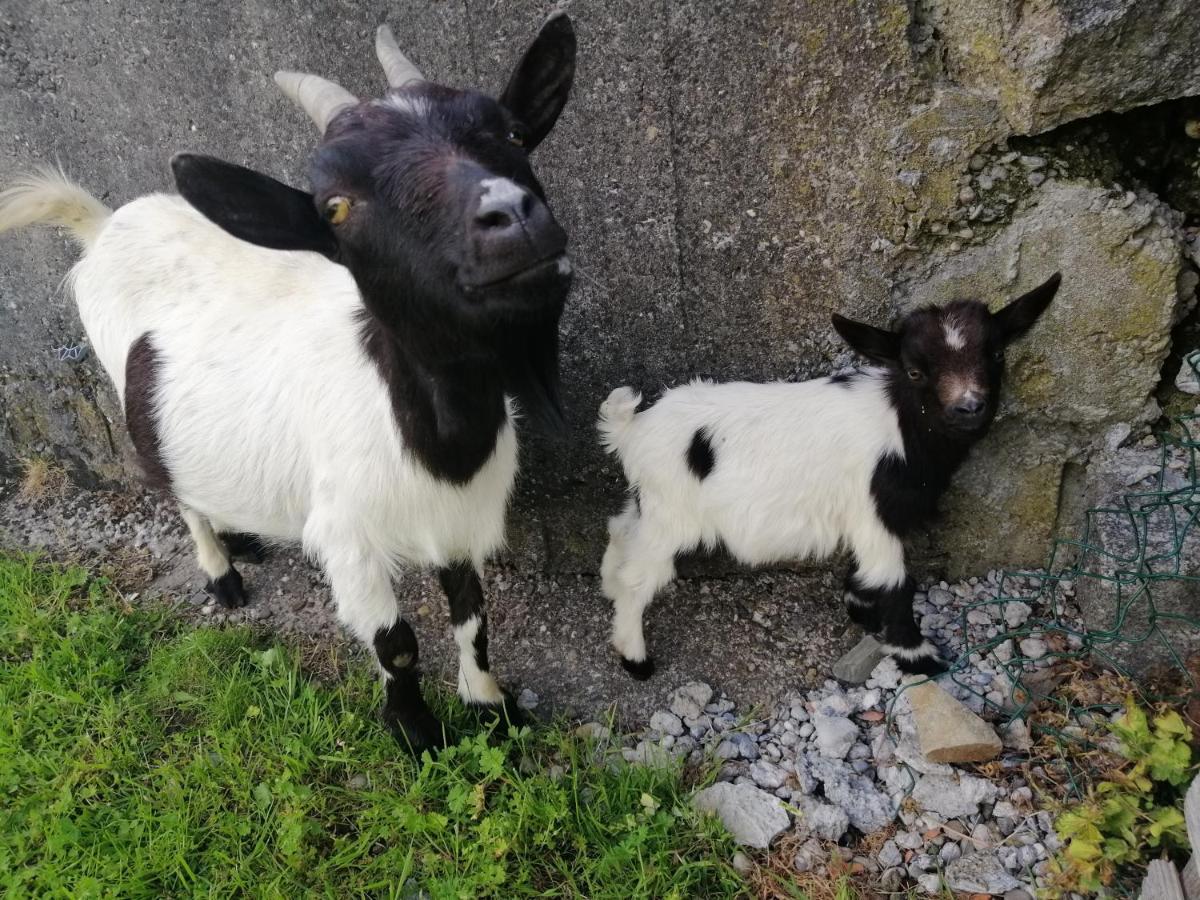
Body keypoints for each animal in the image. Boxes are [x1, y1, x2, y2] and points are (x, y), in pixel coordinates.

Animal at [0, 17, 576, 758]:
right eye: (336, 205)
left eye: (511, 134)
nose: (512, 215)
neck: (430, 436)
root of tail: (103, 226)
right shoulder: (347, 536)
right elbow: (396, 644)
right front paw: (418, 735)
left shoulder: (458, 520)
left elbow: (472, 617)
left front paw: (491, 706)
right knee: (167, 483)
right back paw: (222, 573)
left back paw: (239, 536)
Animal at [600, 274, 1060, 676]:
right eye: (914, 370)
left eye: (996, 355)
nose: (969, 407)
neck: (902, 423)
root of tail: (632, 429)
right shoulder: (874, 514)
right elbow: (894, 582)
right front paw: (917, 655)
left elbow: (867, 574)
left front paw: (861, 608)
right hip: (672, 514)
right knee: (638, 577)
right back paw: (634, 656)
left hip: (649, 504)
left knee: (620, 530)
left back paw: (608, 588)